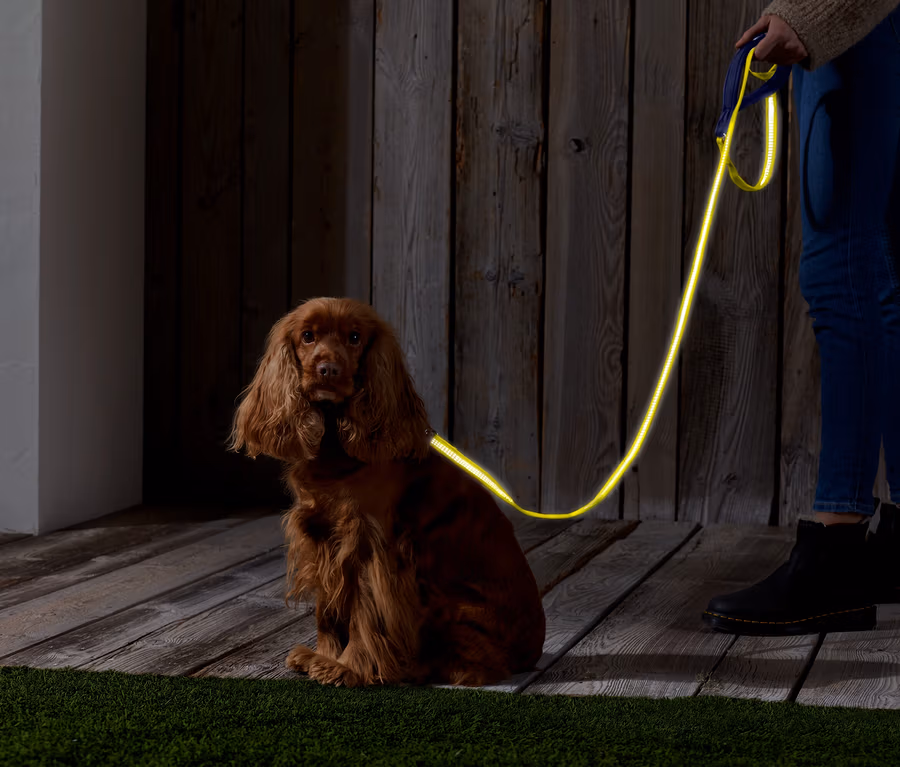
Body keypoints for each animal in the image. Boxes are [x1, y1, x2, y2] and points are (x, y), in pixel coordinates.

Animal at [230, 297, 545, 687]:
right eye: (307, 336)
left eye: (354, 337)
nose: (328, 369)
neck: (335, 448)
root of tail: (533, 654)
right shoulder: (322, 537)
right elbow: (327, 609)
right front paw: (324, 656)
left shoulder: (370, 546)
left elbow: (365, 613)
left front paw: (347, 668)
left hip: (448, 606)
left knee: (476, 665)